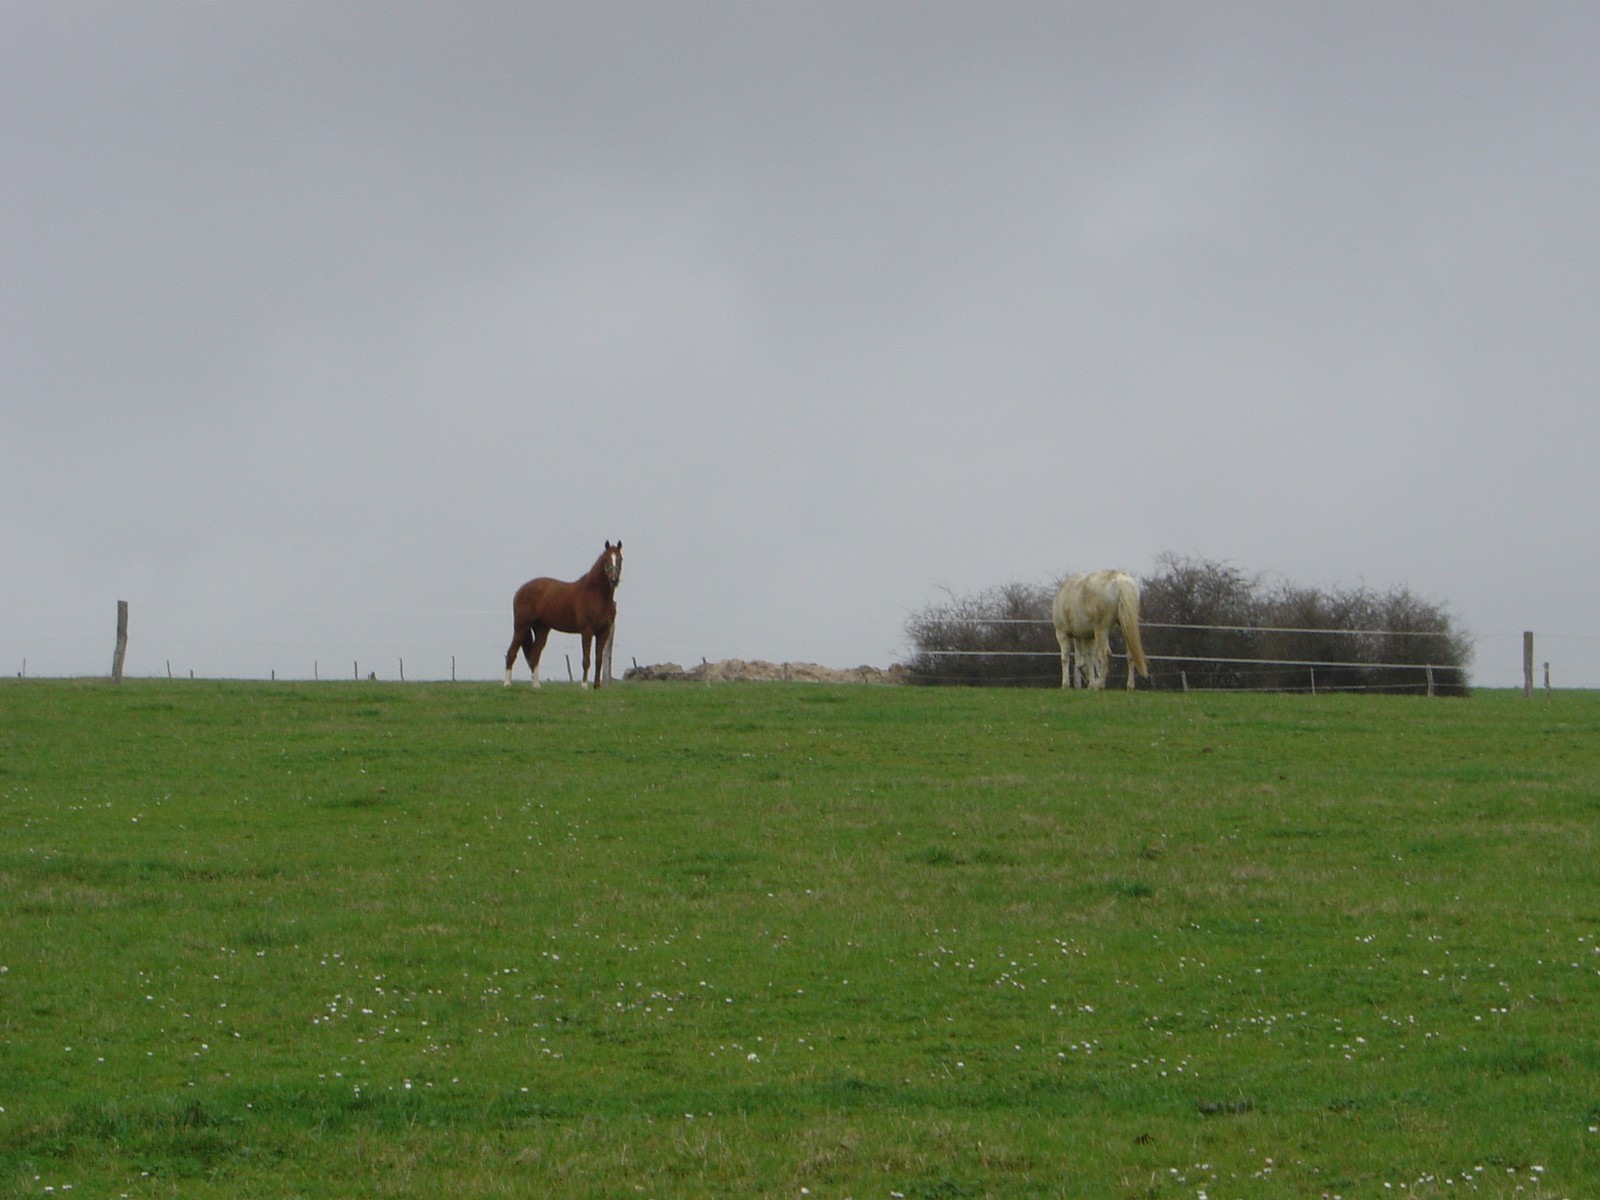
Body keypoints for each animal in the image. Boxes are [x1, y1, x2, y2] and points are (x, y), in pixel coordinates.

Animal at [502, 540, 620, 691]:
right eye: (606, 559)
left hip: (542, 629)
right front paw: (584, 686)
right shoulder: (586, 631)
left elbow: (598, 659)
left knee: (534, 656)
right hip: (521, 627)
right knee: (511, 653)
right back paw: (507, 684)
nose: (614, 579)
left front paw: (596, 687)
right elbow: (586, 660)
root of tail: (520, 590)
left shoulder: (603, 632)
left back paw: (536, 686)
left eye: (620, 559)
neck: (595, 595)